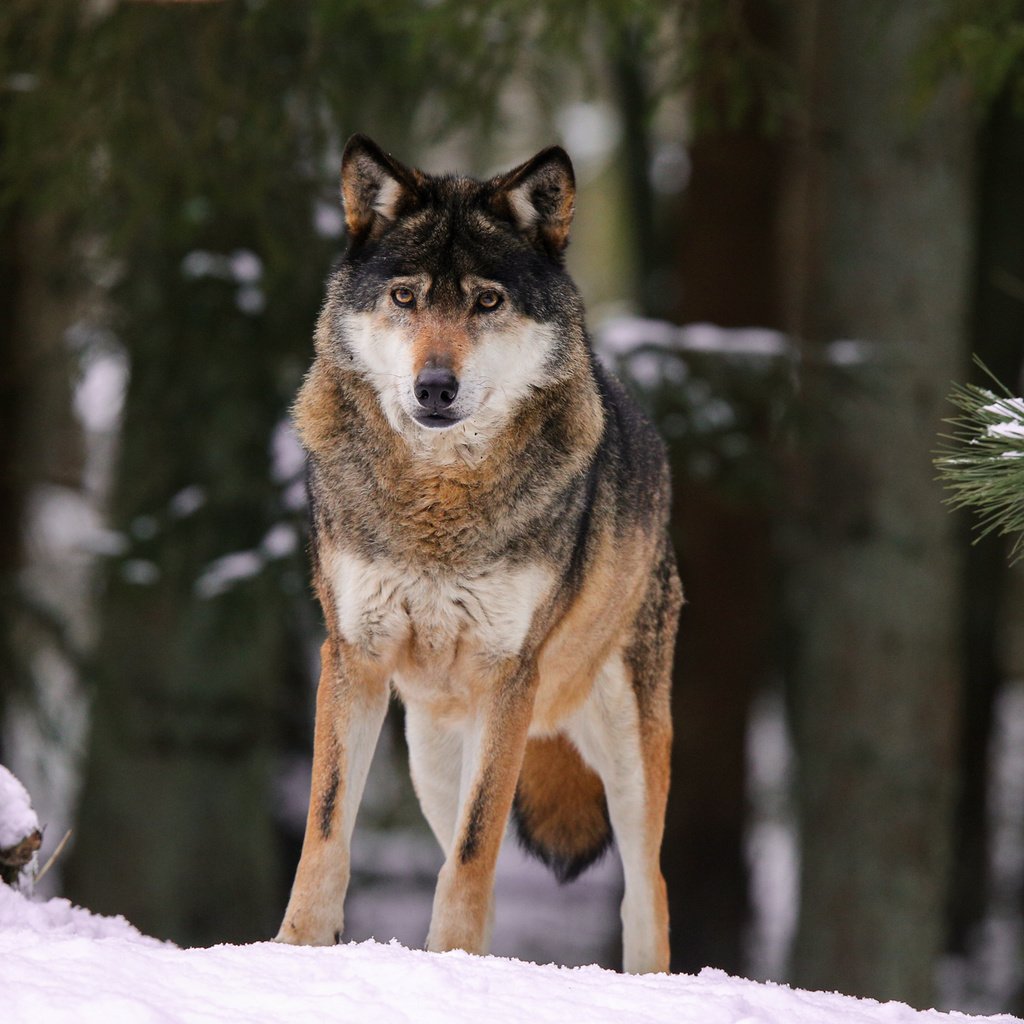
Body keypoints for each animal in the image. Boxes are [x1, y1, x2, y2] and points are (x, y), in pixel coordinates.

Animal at [276, 136, 684, 974]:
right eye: (405, 298)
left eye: (487, 302)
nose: (435, 387)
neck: (437, 500)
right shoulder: (353, 656)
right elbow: (327, 832)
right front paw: (294, 949)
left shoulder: (509, 675)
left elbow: (473, 853)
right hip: (432, 753)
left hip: (625, 746)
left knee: (645, 892)